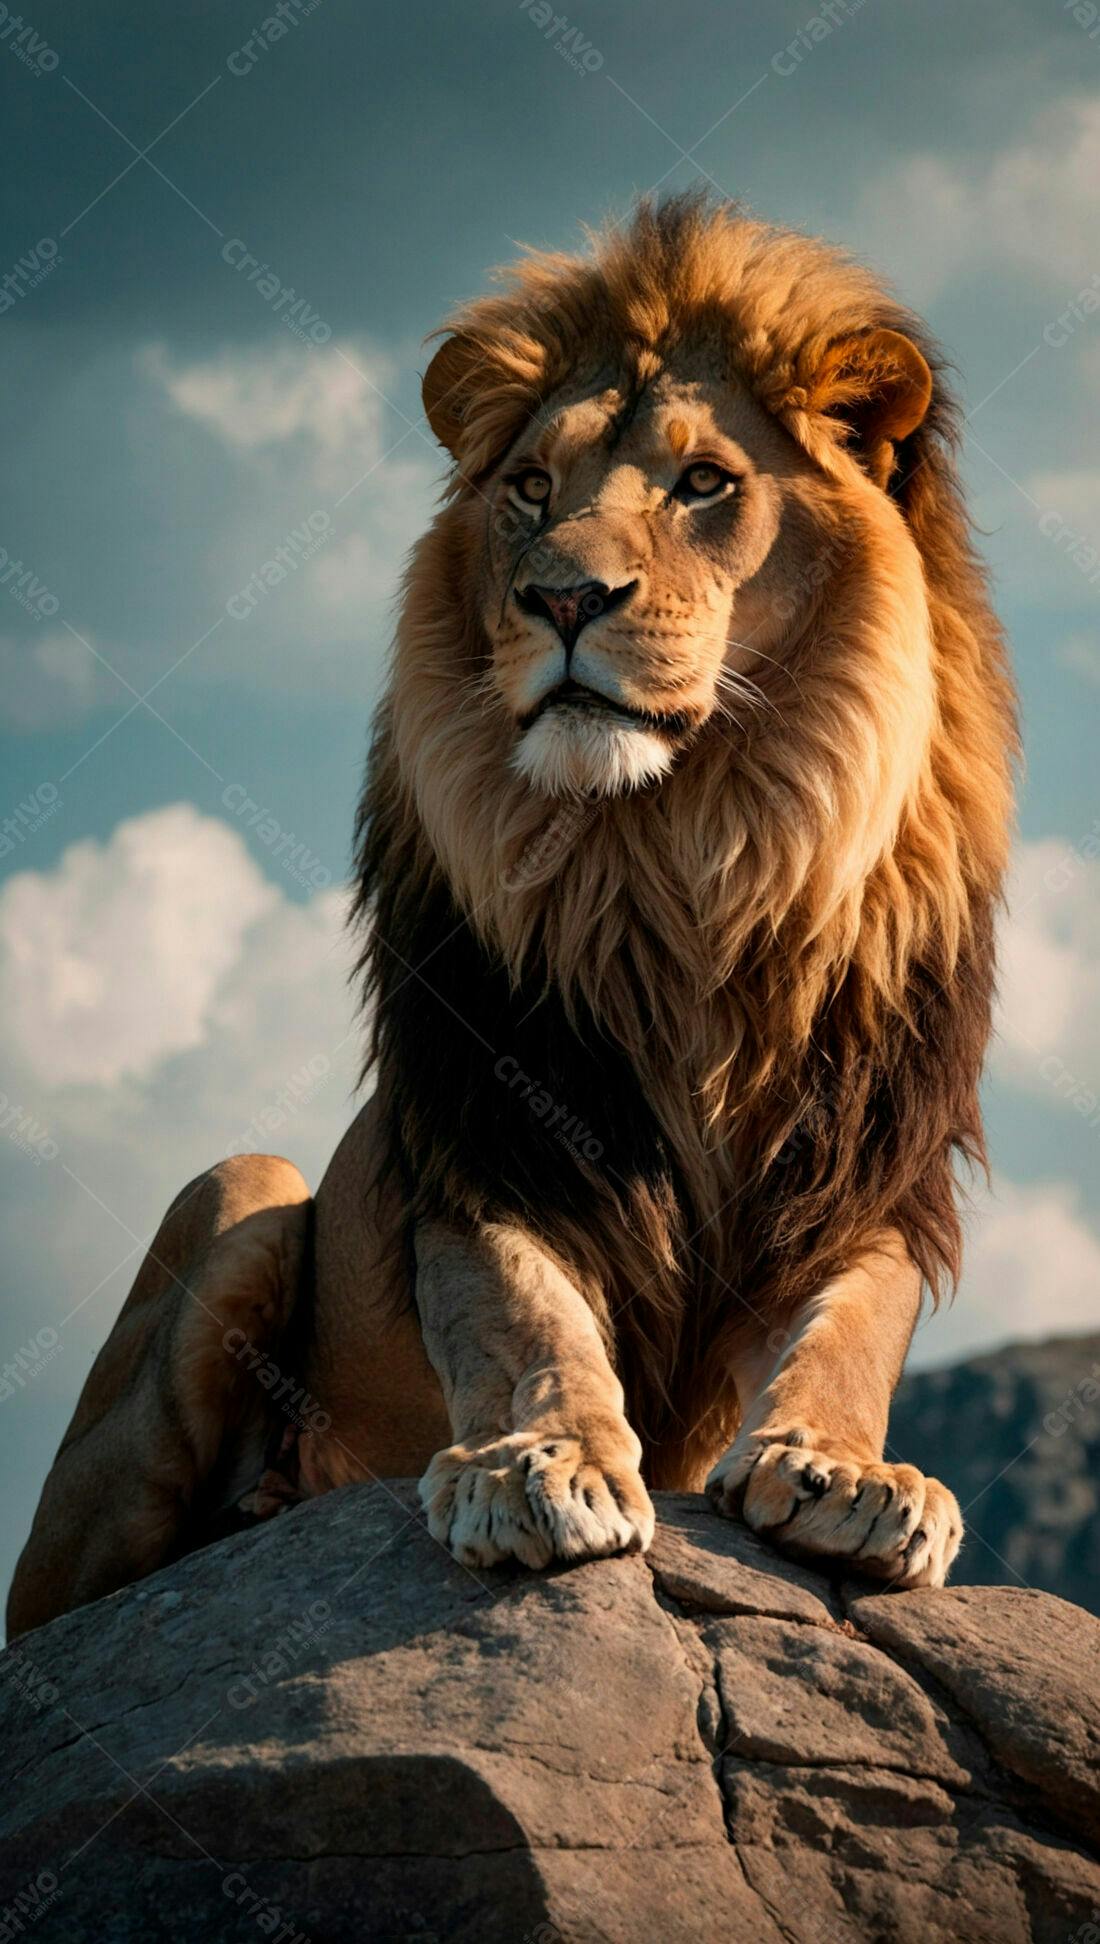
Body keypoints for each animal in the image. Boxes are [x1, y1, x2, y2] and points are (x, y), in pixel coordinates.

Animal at [8, 195, 1016, 1640]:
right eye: (533, 488)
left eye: (704, 484)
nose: (563, 598)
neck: (681, 853)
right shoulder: (489, 1124)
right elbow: (515, 1309)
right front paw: (537, 1466)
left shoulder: (862, 1163)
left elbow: (852, 1324)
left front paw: (847, 1473)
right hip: (240, 1199)